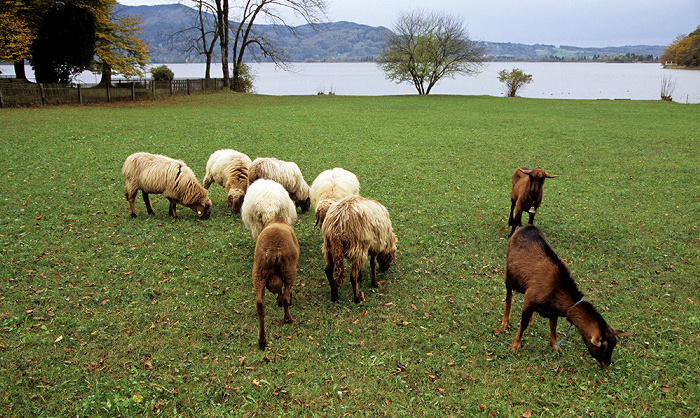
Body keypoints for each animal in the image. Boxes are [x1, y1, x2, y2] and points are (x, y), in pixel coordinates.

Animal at [253, 217, 300, 348]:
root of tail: (272, 251)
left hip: (258, 274)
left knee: (260, 305)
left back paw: (262, 340)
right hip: (289, 271)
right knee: (286, 298)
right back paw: (288, 319)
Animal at [498, 225, 628, 366]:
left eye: (614, 345)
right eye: (603, 346)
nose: (606, 364)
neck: (558, 288)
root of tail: (527, 226)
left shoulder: (551, 310)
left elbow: (553, 326)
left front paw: (556, 347)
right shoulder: (531, 299)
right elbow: (523, 323)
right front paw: (515, 344)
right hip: (509, 276)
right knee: (509, 297)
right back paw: (505, 322)